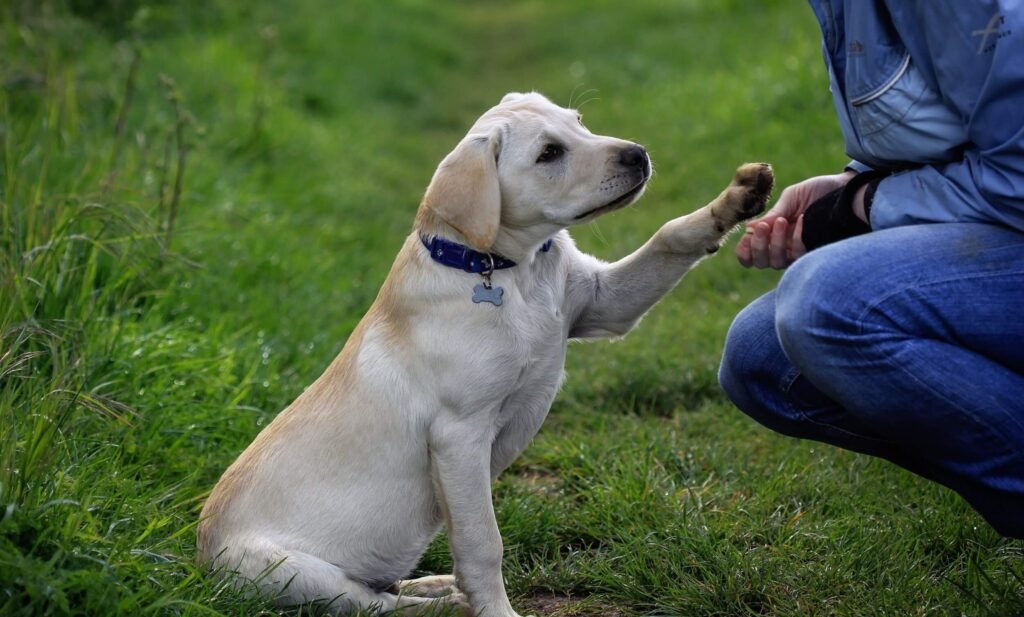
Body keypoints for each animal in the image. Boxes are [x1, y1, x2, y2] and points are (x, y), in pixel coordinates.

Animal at [197, 93, 770, 617]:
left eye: (579, 122)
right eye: (549, 153)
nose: (637, 154)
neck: (507, 270)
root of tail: (199, 564)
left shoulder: (604, 304)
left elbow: (669, 237)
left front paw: (736, 199)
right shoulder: (459, 435)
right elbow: (483, 542)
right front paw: (496, 611)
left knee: (381, 590)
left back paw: (433, 585)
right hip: (287, 570)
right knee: (369, 603)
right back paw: (442, 601)